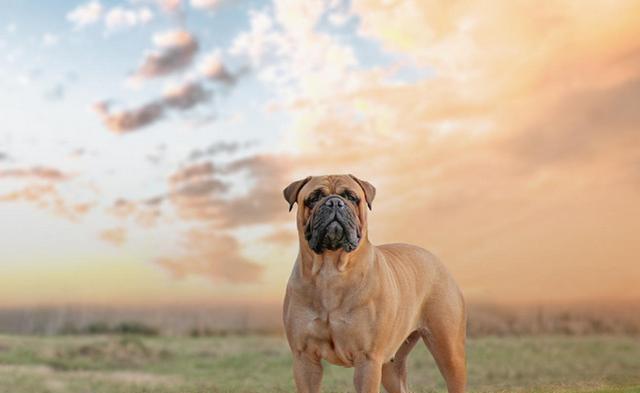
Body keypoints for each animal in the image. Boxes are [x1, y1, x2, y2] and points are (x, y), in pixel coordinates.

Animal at [282, 175, 468, 392]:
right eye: (314, 198)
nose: (335, 202)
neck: (330, 270)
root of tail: (435, 259)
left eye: (351, 197)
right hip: (391, 365)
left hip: (449, 351)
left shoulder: (368, 359)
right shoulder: (304, 358)